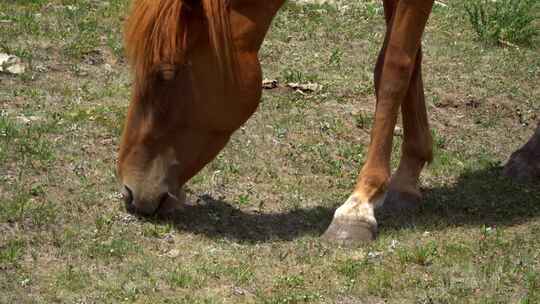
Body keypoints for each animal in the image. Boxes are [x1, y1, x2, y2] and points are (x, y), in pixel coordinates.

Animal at [117, 0, 434, 246]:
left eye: (166, 73)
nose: (129, 191)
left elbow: (393, 69)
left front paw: (359, 206)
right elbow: (411, 60)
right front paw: (407, 179)